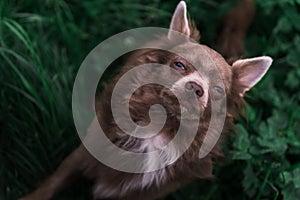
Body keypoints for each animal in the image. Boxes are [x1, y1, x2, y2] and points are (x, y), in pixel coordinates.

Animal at [21, 0, 274, 199]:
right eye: (179, 65)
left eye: (219, 90)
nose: (196, 87)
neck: (159, 128)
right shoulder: (83, 155)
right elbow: (52, 183)